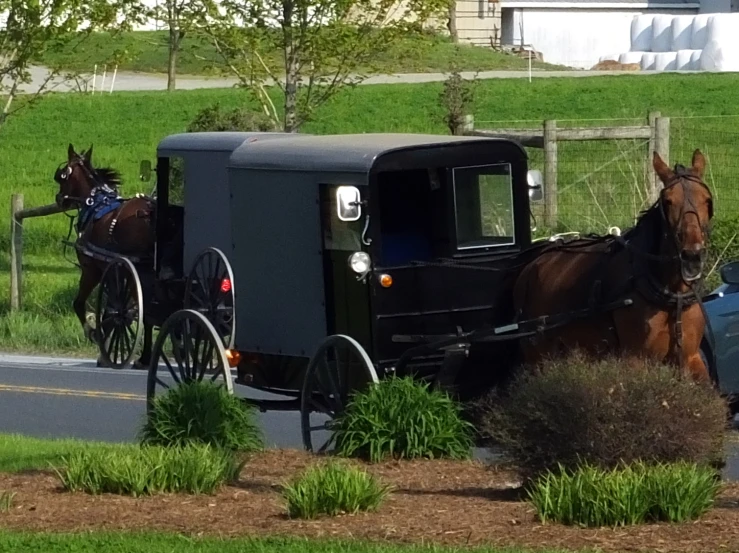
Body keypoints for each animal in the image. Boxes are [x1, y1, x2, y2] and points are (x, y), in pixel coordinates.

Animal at [54, 144, 157, 364]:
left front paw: (94, 334)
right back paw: (145, 357)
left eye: (62, 175)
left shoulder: (93, 270)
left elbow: (81, 304)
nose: (59, 199)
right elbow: (111, 309)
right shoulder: (116, 272)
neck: (95, 202)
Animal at [512, 149, 712, 382]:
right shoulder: (635, 360)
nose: (692, 255)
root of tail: (532, 264)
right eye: (668, 201)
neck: (672, 294)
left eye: (707, 200)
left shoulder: (690, 359)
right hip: (538, 355)